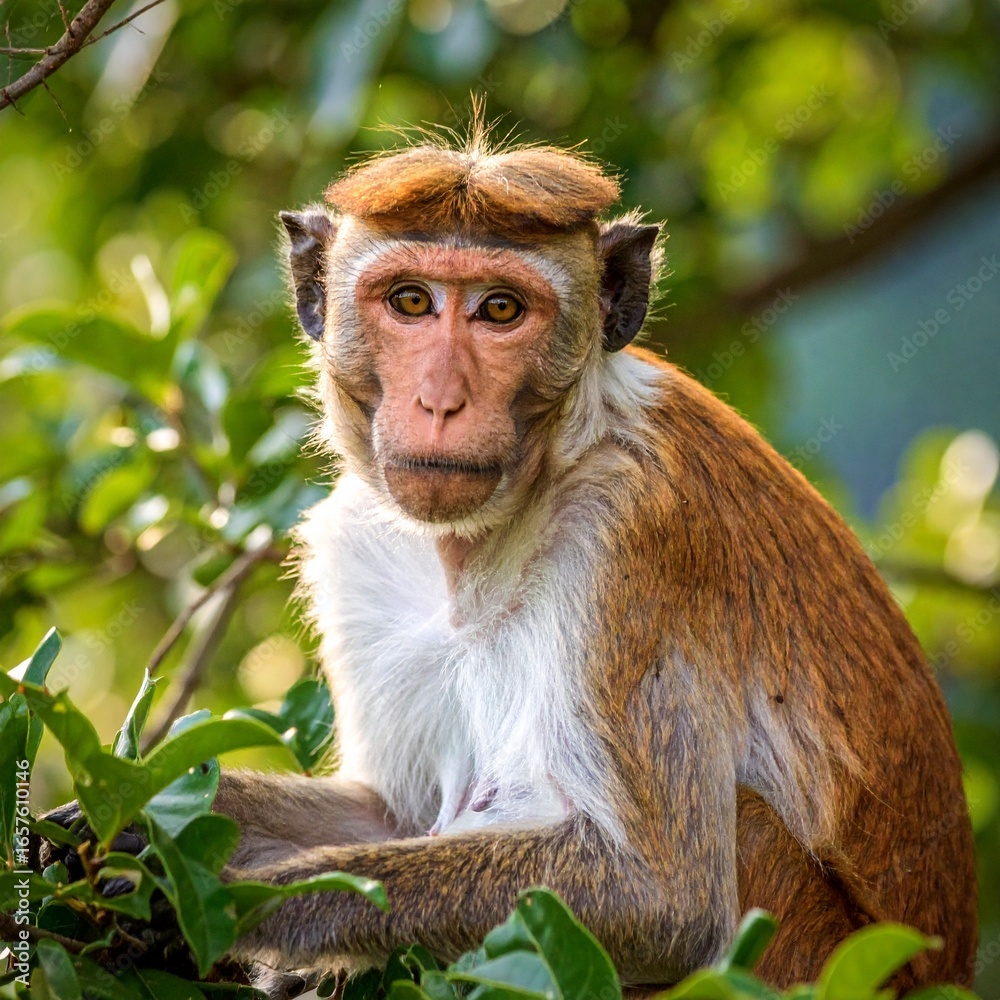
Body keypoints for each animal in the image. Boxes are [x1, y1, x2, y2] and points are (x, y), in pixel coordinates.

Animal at [43, 125, 979, 994]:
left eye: (500, 310)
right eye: (411, 301)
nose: (440, 401)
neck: (487, 541)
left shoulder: (636, 534)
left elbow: (661, 897)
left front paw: (233, 904)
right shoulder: (356, 550)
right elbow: (391, 814)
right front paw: (114, 830)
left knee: (740, 831)